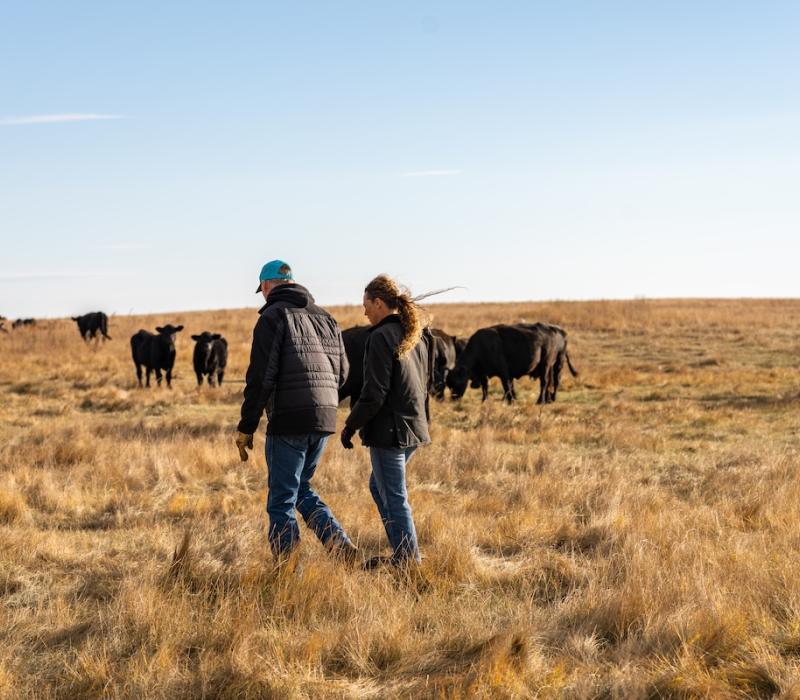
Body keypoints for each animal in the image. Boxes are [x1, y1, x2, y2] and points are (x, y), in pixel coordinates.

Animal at [446, 323, 577, 404]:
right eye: (449, 384)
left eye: (456, 382)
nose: (453, 399)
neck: (482, 347)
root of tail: (555, 331)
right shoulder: (484, 374)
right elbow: (486, 387)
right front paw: (485, 400)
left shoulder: (504, 373)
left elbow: (507, 386)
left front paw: (510, 400)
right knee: (549, 382)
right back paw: (548, 399)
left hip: (549, 365)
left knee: (547, 382)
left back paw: (541, 401)